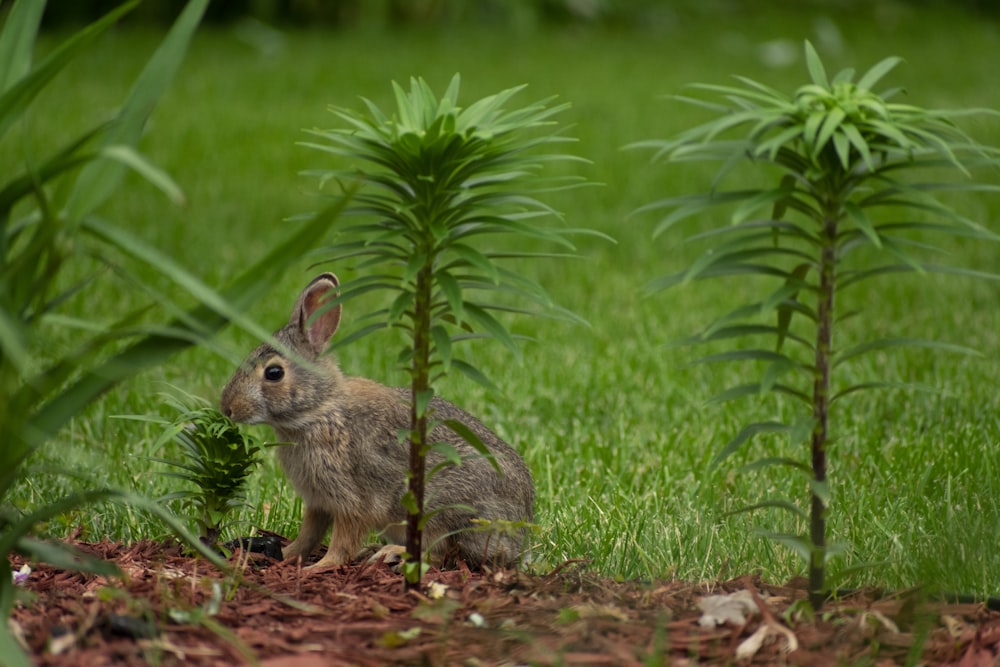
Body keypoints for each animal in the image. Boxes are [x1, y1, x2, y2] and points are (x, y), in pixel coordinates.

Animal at [218, 272, 532, 568]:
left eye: (274, 373)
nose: (227, 408)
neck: (320, 411)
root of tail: (518, 537)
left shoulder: (353, 499)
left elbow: (343, 540)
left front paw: (320, 566)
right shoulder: (318, 502)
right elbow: (309, 535)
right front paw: (284, 555)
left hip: (438, 507)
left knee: (439, 552)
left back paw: (391, 553)